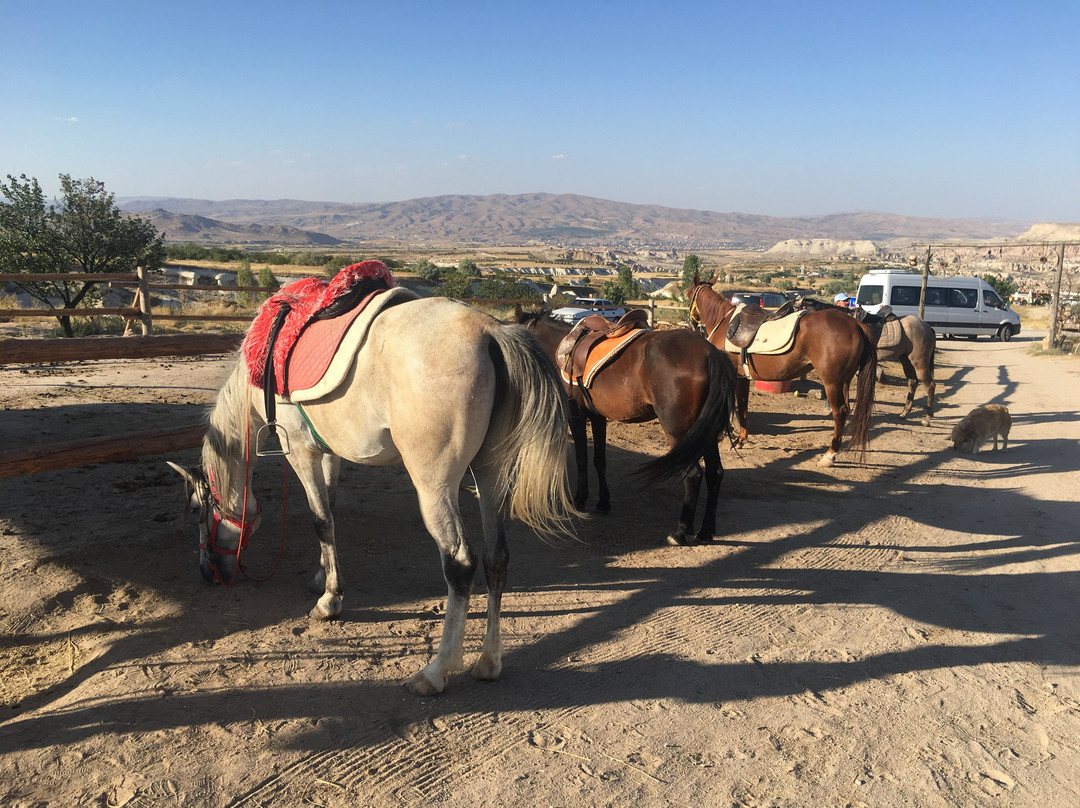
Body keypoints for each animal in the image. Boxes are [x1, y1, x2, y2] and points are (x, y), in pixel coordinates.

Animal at [169, 289, 577, 696]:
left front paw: (329, 602)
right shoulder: (328, 452)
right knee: (497, 559)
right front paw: (323, 577)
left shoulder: (298, 451)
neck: (266, 362)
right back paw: (489, 661)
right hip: (490, 475)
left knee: (460, 564)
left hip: (435, 487)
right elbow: (329, 515)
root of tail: (492, 332)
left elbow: (320, 521)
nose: (208, 572)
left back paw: (436, 671)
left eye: (197, 509)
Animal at [513, 307, 738, 546]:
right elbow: (599, 460)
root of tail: (710, 354)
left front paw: (579, 499)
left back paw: (680, 532)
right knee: (715, 473)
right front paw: (603, 502)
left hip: (679, 431)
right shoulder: (597, 417)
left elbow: (582, 457)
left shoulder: (576, 415)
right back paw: (705, 531)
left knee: (693, 474)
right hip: (706, 432)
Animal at [686, 276, 877, 466]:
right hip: (844, 381)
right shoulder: (742, 378)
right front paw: (741, 440)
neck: (724, 322)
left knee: (840, 412)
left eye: (689, 295)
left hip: (832, 382)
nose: (691, 323)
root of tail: (856, 325)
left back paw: (829, 455)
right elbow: (743, 407)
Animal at [797, 297, 936, 425]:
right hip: (906, 359)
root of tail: (927, 327)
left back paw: (927, 418)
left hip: (920, 362)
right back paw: (904, 413)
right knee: (912, 382)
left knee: (930, 385)